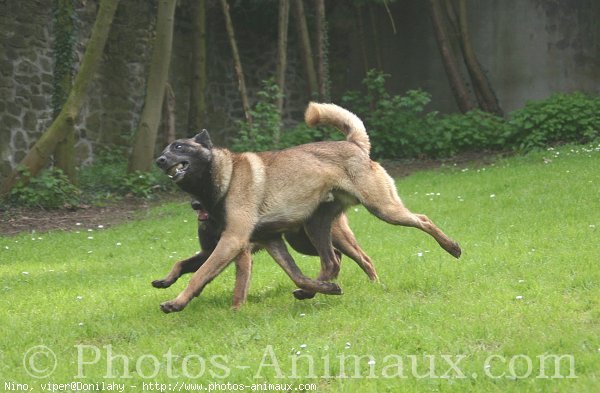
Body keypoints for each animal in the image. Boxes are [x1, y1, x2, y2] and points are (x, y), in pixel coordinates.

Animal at [155, 101, 460, 312]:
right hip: (315, 228)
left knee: (421, 219)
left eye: (179, 147)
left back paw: (452, 247)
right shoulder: (270, 240)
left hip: (382, 208)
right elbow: (297, 276)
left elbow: (201, 275)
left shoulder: (233, 243)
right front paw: (322, 289)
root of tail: (355, 145)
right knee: (332, 261)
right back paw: (315, 290)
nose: (159, 160)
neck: (224, 178)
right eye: (166, 149)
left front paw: (177, 302)